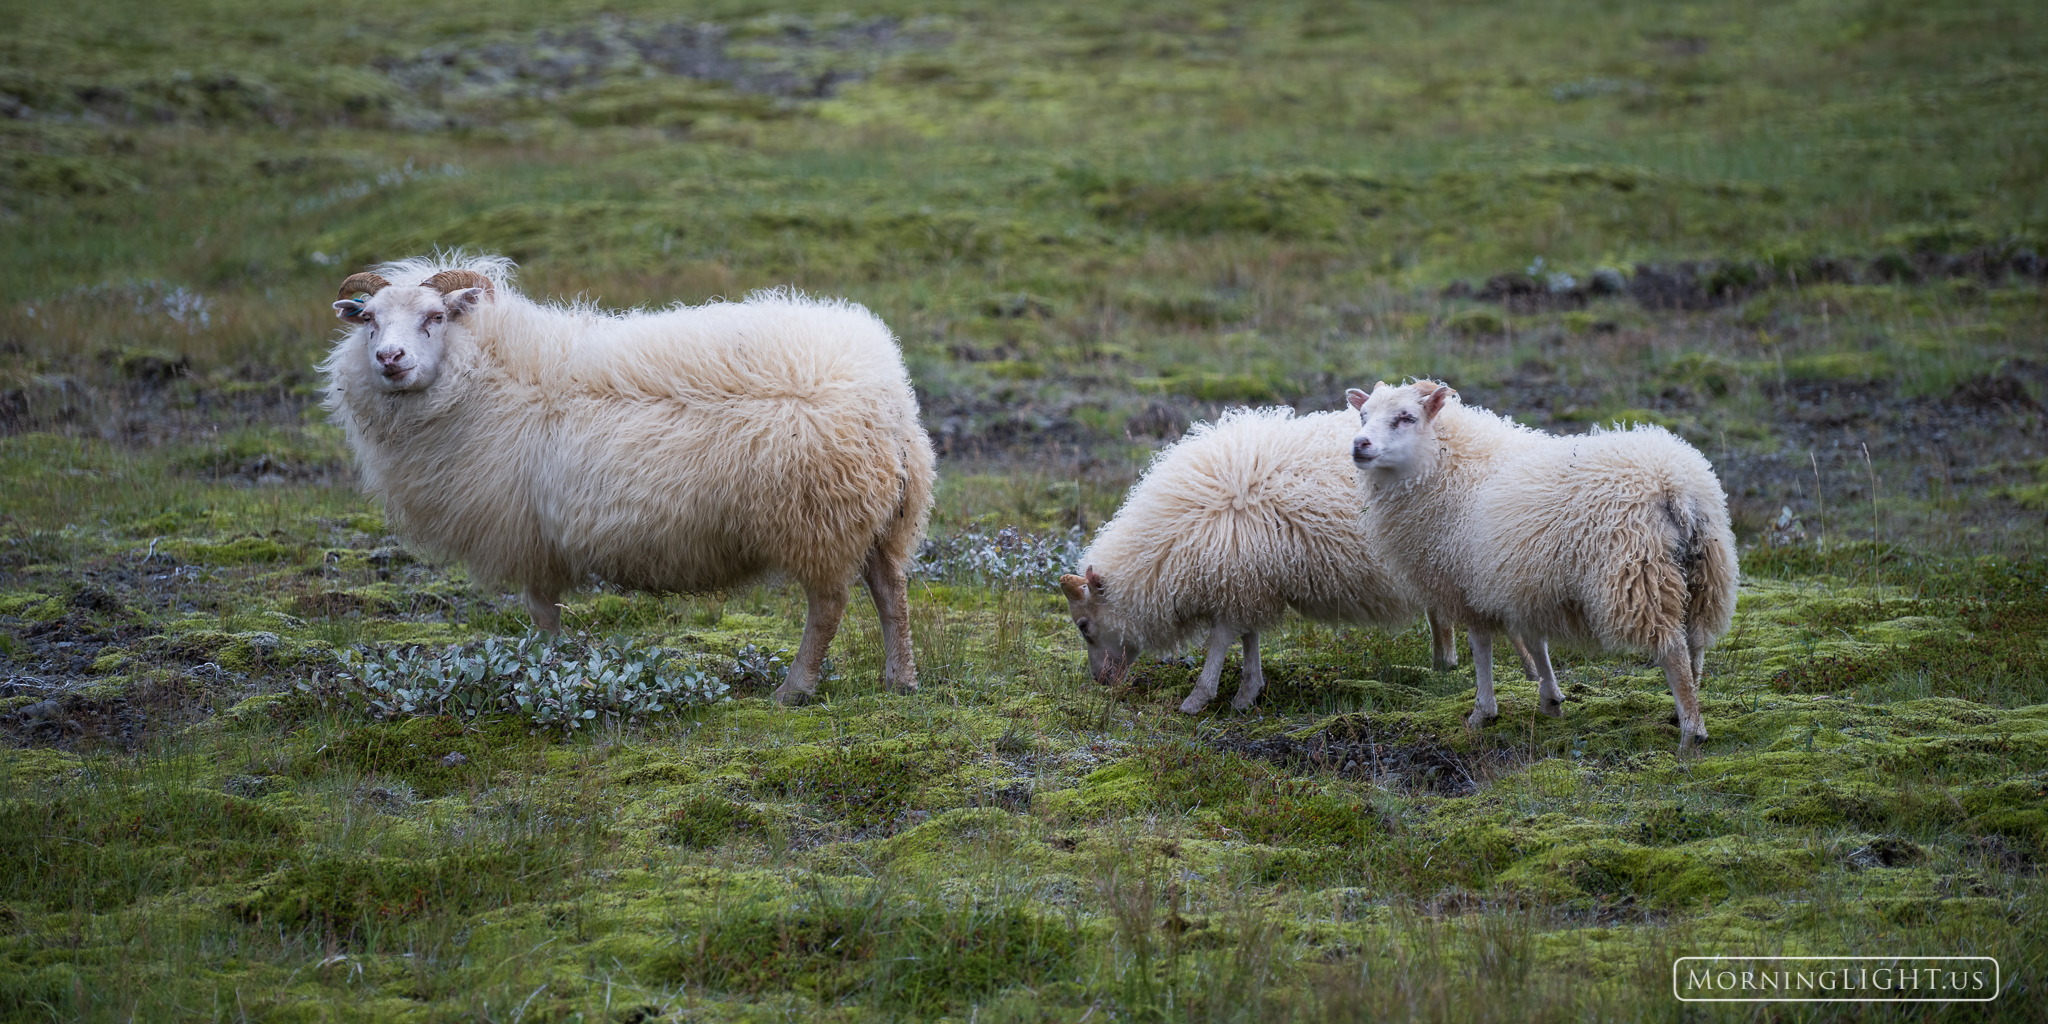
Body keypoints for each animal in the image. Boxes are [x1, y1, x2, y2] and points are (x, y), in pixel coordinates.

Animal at [319, 253, 937, 704]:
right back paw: (900, 680)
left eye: (436, 317)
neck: (488, 373)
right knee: (891, 592)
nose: (390, 357)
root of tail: (884, 392)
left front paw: (543, 673)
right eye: (369, 319)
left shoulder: (528, 535)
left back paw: (794, 690)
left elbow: (543, 616)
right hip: (882, 514)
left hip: (819, 518)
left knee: (828, 608)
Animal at [1064, 405, 1449, 712]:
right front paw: (1248, 692)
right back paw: (1444, 665)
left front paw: (1197, 699)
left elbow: (1221, 640)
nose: (1099, 680)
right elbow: (1249, 636)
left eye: (1083, 626)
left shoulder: (1240, 578)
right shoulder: (1247, 581)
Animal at [1351, 380, 1736, 749]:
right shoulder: (1524, 582)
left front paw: (1483, 712)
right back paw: (1686, 710)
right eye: (1363, 415)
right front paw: (1551, 700)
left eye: (1406, 417)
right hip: (1704, 575)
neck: (1447, 464)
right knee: (1696, 645)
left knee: (1673, 651)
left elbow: (1481, 648)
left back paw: (1691, 733)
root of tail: (1674, 486)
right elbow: (1536, 642)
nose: (1359, 444)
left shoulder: (1466, 585)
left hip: (1638, 575)